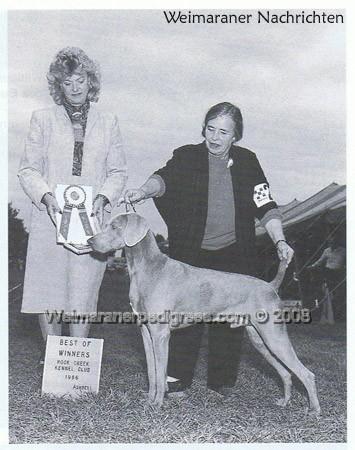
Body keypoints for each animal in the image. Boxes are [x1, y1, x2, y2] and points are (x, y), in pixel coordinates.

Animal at [89, 214, 322, 414]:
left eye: (114, 226)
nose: (90, 241)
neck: (147, 269)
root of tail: (271, 285)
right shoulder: (146, 333)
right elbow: (152, 372)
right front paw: (149, 400)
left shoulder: (161, 334)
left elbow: (161, 371)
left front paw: (157, 403)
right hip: (259, 339)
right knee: (286, 373)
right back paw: (285, 402)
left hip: (274, 336)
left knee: (306, 374)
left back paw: (314, 410)